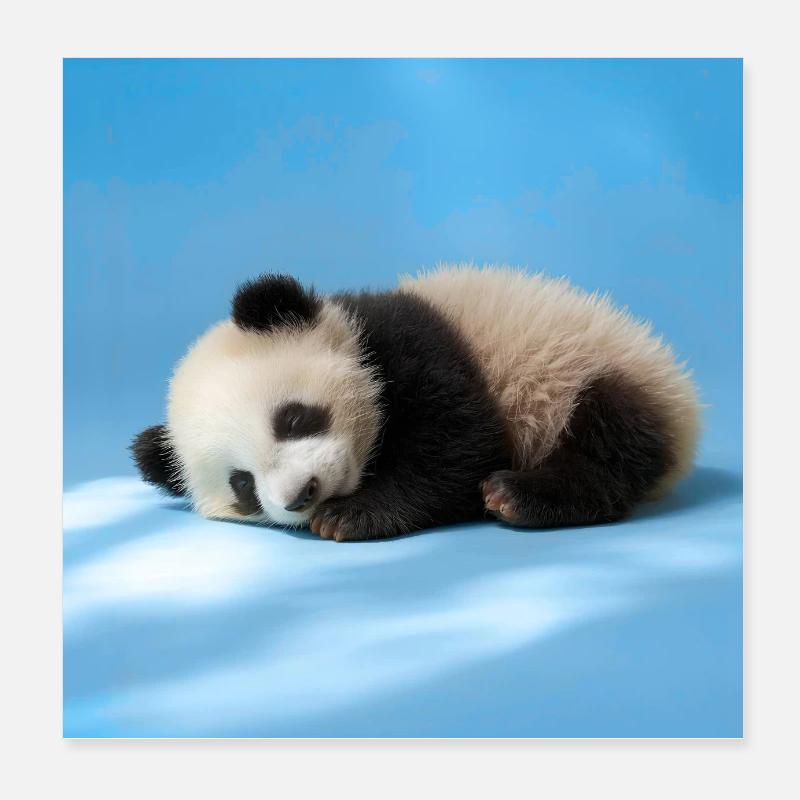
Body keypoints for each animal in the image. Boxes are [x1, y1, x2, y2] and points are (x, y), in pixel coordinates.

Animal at [132, 265, 700, 542]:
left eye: (292, 418)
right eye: (242, 485)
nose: (301, 495)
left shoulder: (413, 343)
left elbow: (458, 442)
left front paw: (351, 515)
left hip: (592, 369)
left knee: (610, 437)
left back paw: (521, 494)